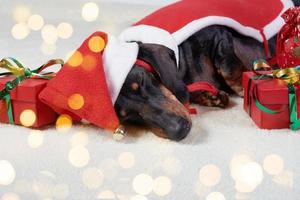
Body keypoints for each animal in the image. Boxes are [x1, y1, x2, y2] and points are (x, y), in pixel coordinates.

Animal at [114, 0, 300, 141]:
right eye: (127, 116)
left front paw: (243, 88)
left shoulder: (218, 34)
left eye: (142, 80)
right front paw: (211, 97)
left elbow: (229, 68)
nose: (179, 131)